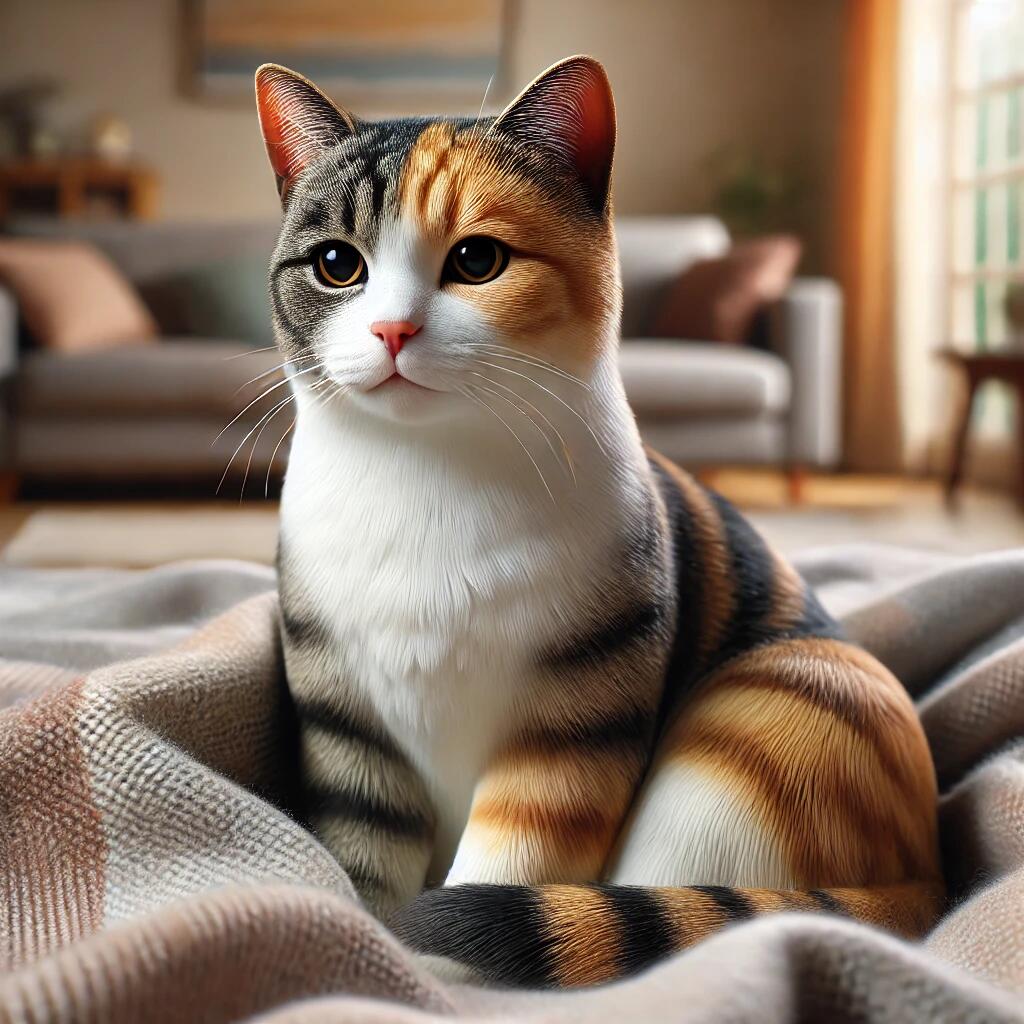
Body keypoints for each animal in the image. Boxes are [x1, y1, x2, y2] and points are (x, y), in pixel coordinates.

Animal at [256, 54, 942, 983]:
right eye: (336, 264)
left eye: (477, 259)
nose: (392, 329)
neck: (427, 474)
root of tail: (928, 871)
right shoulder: (347, 728)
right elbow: (366, 861)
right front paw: (367, 939)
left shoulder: (577, 717)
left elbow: (506, 866)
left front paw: (430, 967)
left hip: (771, 718)